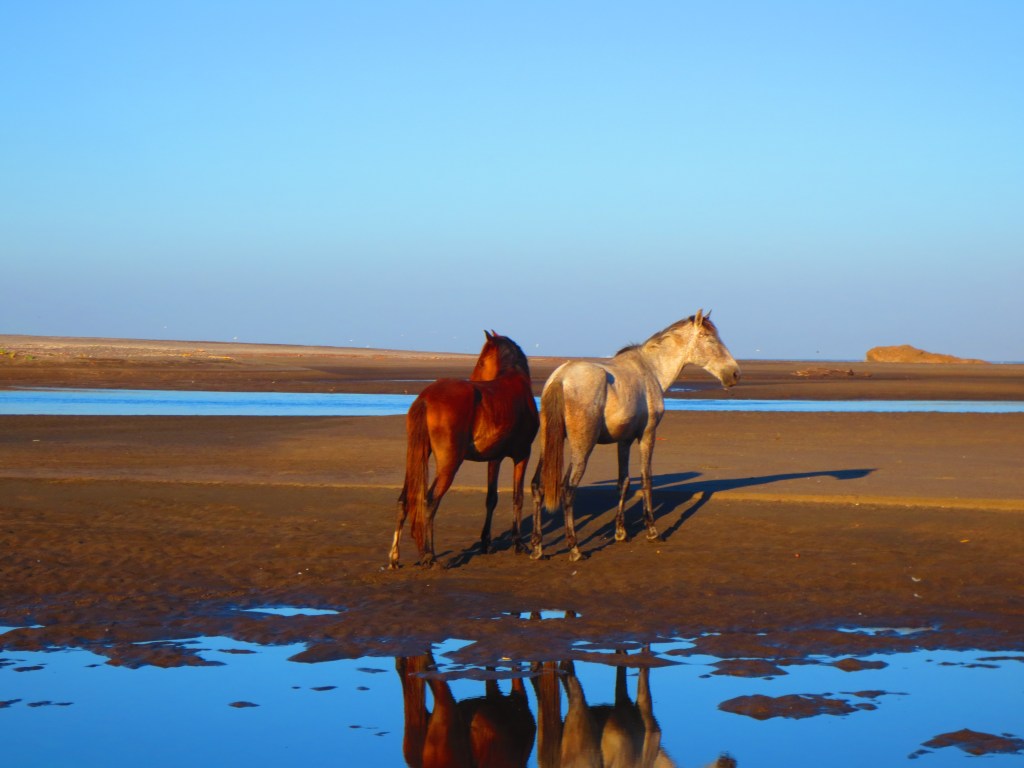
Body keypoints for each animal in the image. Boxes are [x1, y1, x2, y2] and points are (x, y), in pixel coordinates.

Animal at [389, 331, 539, 569]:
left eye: (481, 361)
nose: (473, 377)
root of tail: (426, 397)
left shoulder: (494, 459)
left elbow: (491, 499)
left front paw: (486, 542)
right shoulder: (522, 455)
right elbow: (517, 498)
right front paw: (518, 544)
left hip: (415, 458)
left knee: (404, 500)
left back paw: (395, 557)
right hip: (449, 464)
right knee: (430, 501)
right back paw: (429, 556)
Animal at [530, 311, 739, 561]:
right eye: (709, 339)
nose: (735, 373)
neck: (650, 370)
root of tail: (560, 378)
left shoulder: (624, 441)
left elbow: (624, 482)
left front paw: (621, 532)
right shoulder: (647, 435)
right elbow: (646, 479)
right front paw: (652, 531)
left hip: (550, 445)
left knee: (537, 486)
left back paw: (537, 547)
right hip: (583, 448)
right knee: (568, 490)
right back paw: (575, 548)